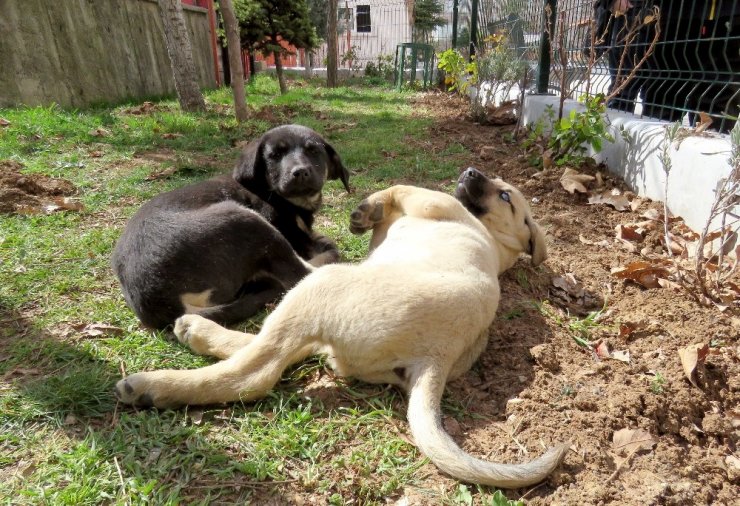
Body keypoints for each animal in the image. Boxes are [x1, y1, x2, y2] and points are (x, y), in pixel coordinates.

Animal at [112, 123, 350, 328]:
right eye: (274, 156)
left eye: (314, 151)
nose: (300, 172)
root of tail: (166, 305)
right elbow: (323, 249)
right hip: (243, 218)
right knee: (300, 274)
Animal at [115, 168, 568, 488]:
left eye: (506, 195)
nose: (472, 170)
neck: (491, 240)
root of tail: (436, 358)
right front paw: (369, 216)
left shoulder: (431, 201)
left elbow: (400, 187)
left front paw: (366, 208)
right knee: (277, 348)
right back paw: (197, 331)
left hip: (323, 287)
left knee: (256, 372)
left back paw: (152, 385)